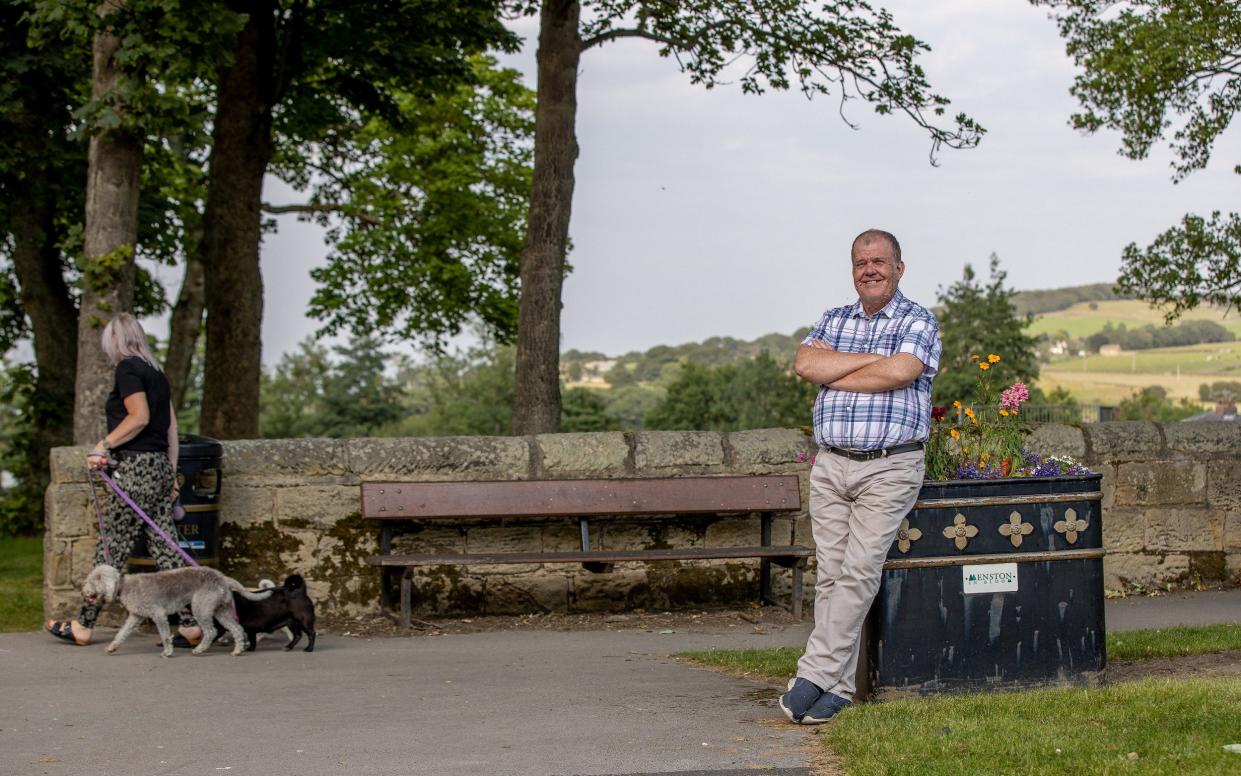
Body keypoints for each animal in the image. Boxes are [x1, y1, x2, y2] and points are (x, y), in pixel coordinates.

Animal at [82, 563, 271, 655]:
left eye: (91, 581)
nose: (83, 592)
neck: (123, 586)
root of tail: (223, 578)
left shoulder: (158, 614)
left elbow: (165, 635)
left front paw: (167, 652)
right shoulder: (136, 615)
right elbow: (122, 633)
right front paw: (112, 647)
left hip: (201, 606)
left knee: (210, 631)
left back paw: (200, 649)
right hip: (220, 608)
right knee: (237, 629)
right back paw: (237, 650)